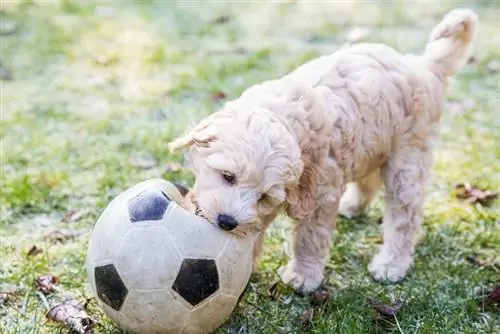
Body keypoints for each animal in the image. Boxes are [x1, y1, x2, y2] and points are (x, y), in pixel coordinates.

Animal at [170, 9, 478, 294]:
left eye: (263, 196)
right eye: (228, 177)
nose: (227, 222)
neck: (287, 120)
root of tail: (422, 66)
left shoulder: (319, 194)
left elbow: (309, 237)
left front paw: (303, 276)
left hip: (408, 159)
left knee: (405, 215)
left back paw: (392, 264)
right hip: (374, 144)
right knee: (369, 178)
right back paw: (353, 206)